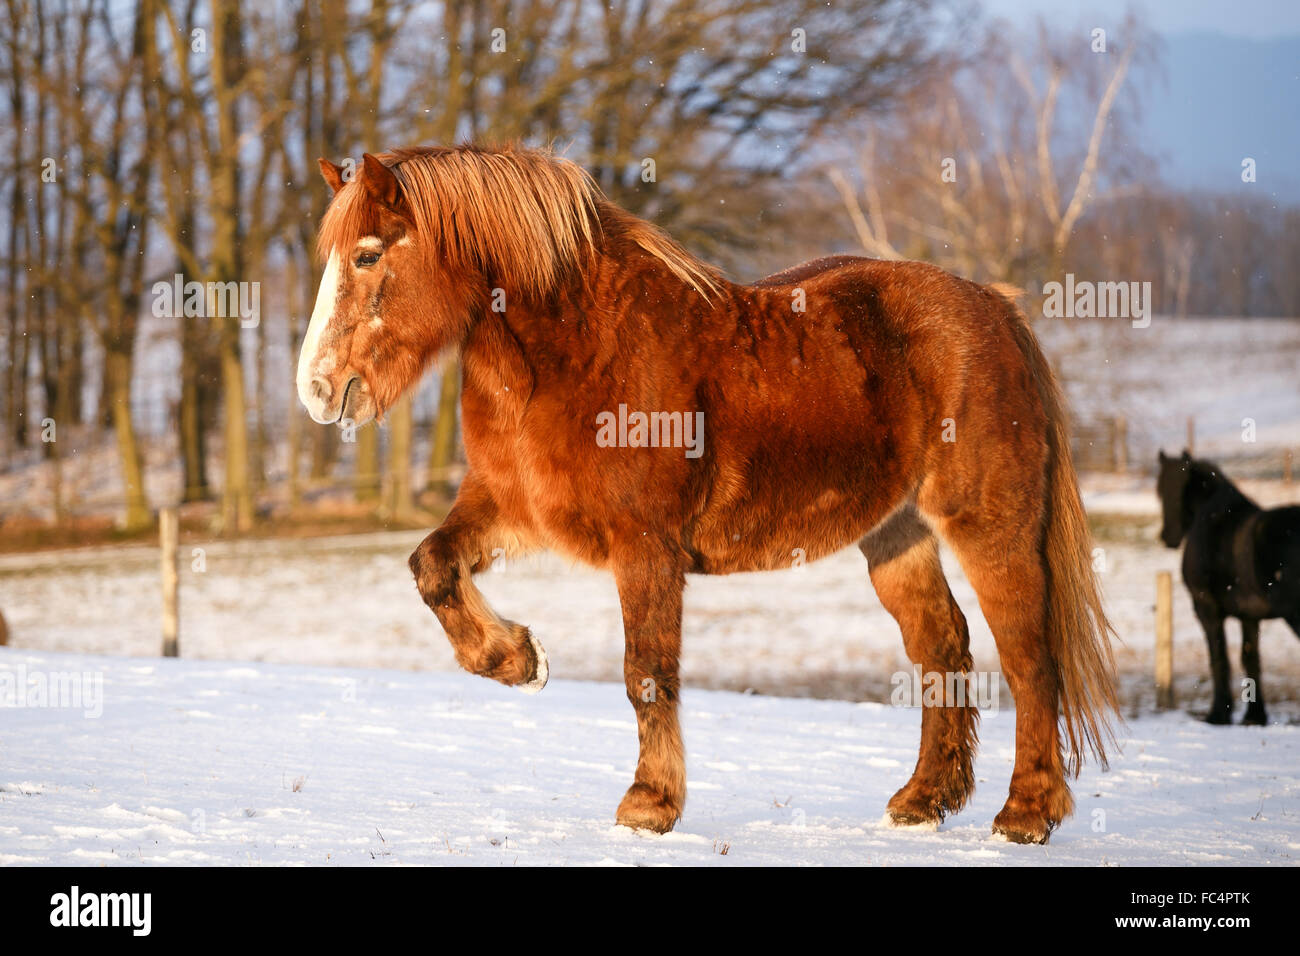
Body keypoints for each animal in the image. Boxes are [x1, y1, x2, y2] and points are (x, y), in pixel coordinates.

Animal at [295, 143, 1118, 842]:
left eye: (368, 254)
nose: (317, 389)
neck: (582, 349)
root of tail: (995, 307)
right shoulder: (511, 511)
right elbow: (432, 568)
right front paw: (519, 659)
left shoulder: (646, 548)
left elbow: (647, 673)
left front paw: (649, 805)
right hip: (896, 535)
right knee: (942, 647)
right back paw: (923, 801)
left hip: (989, 527)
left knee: (1030, 657)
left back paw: (1026, 813)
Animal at [1159, 452, 1300, 723]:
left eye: (1161, 489)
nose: (1167, 538)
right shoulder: (1249, 615)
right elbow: (1250, 658)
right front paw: (1254, 716)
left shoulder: (1206, 608)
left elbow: (1219, 658)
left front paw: (1218, 714)